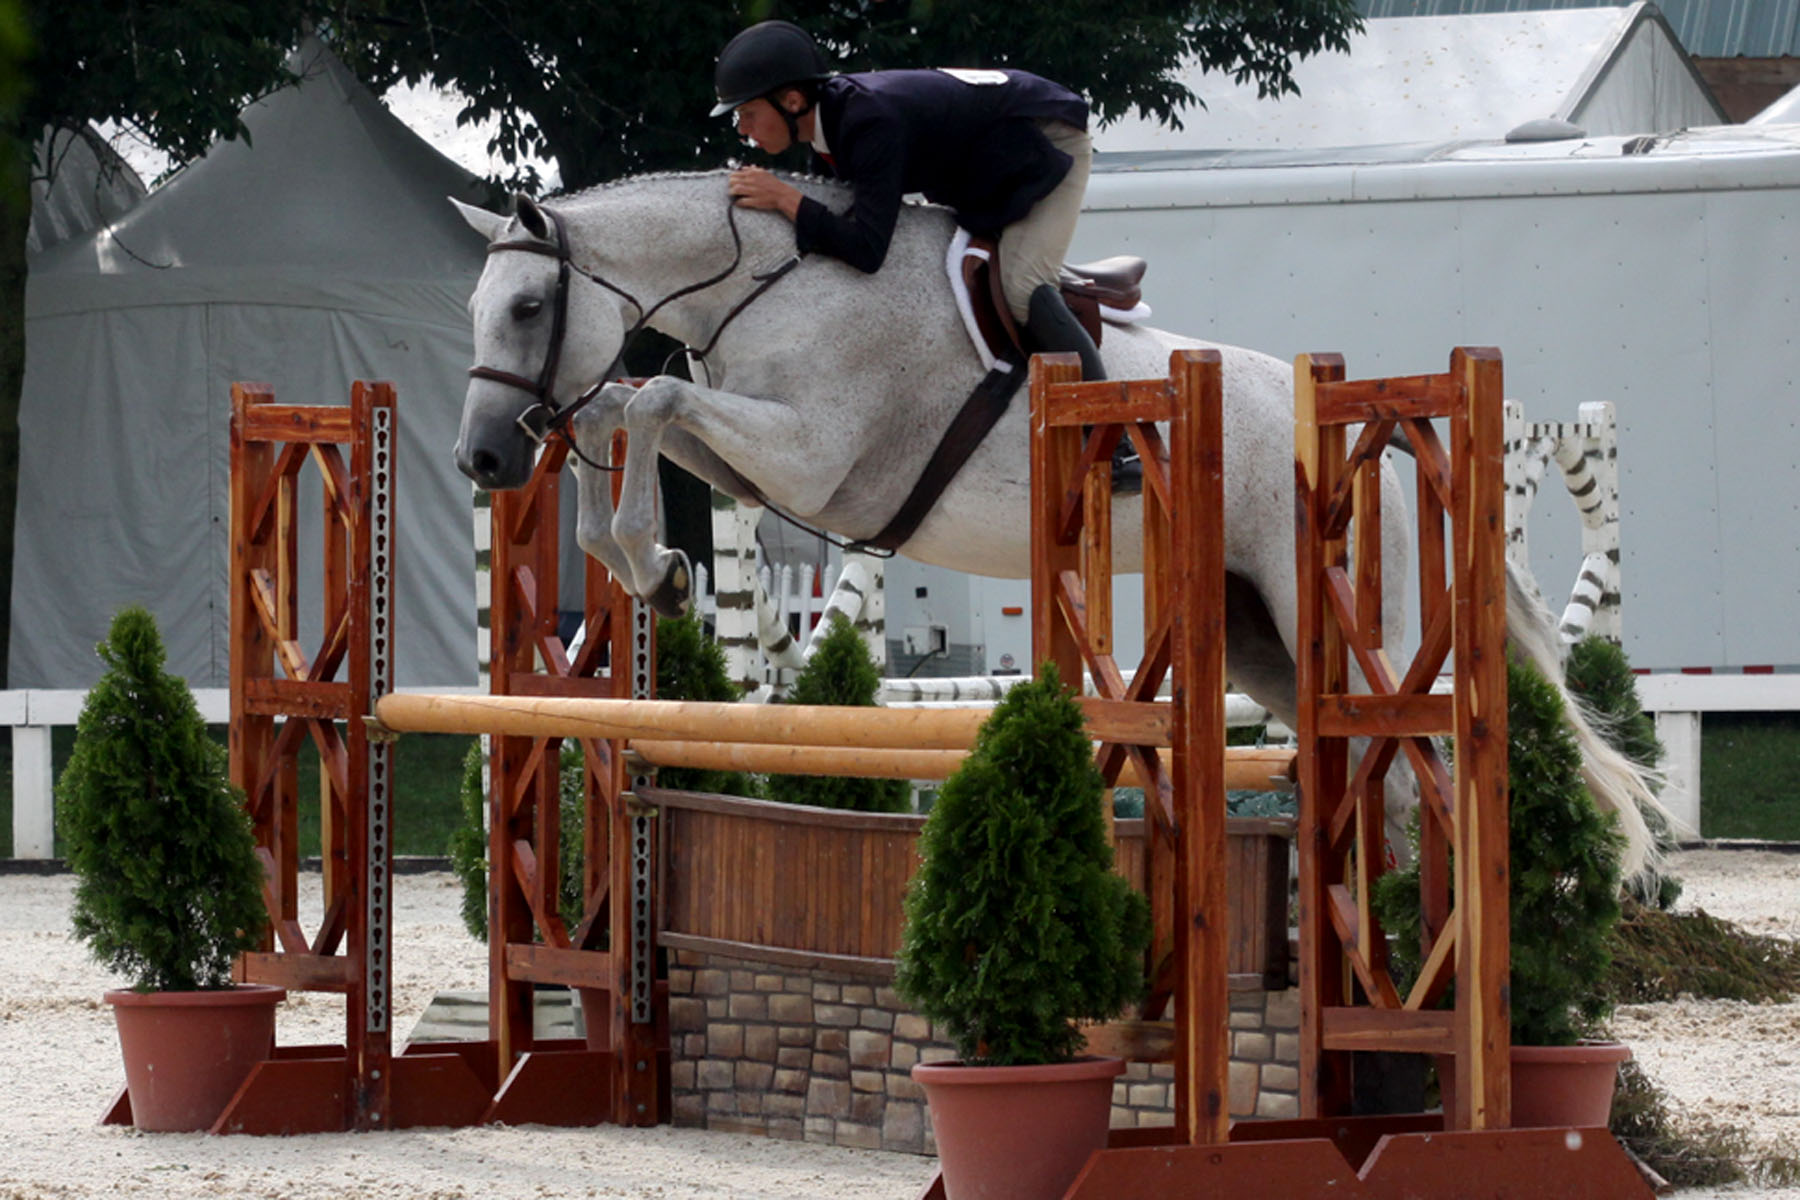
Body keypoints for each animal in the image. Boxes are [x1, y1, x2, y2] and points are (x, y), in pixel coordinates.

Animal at [450, 169, 1656, 874]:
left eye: (528, 305)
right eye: (476, 308)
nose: (484, 458)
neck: (774, 279)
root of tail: (1388, 446)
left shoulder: (816, 460)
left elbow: (649, 396)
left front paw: (653, 565)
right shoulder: (758, 455)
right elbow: (621, 407)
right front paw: (646, 564)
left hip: (1363, 627)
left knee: (1406, 759)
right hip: (1261, 639)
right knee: (1380, 770)